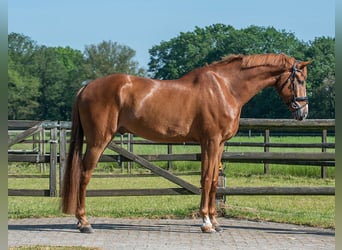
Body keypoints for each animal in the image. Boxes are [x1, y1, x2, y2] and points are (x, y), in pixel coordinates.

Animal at [60, 53, 310, 233]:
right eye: (299, 79)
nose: (303, 112)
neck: (225, 87)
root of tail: (87, 86)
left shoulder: (218, 144)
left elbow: (214, 182)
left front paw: (215, 221)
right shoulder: (210, 141)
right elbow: (206, 179)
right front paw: (206, 222)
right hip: (98, 141)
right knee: (84, 175)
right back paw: (84, 223)